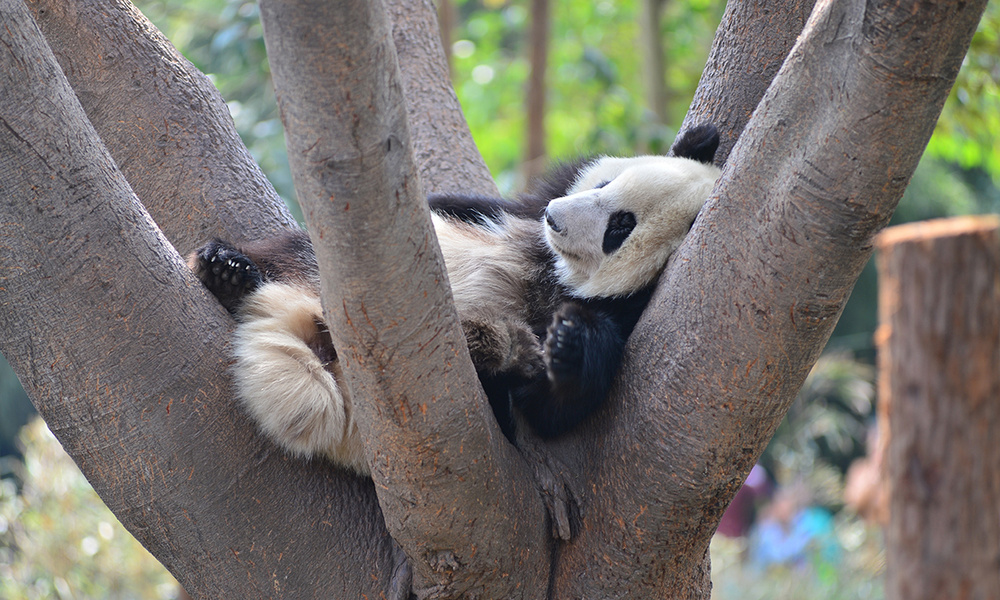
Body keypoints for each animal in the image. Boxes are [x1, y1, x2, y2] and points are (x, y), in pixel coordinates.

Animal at [189, 124, 720, 476]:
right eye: (605, 183)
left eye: (619, 228)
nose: (556, 217)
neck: (556, 270)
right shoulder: (514, 212)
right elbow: (456, 205)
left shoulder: (625, 312)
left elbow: (553, 410)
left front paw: (571, 345)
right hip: (314, 271)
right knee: (287, 251)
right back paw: (228, 271)